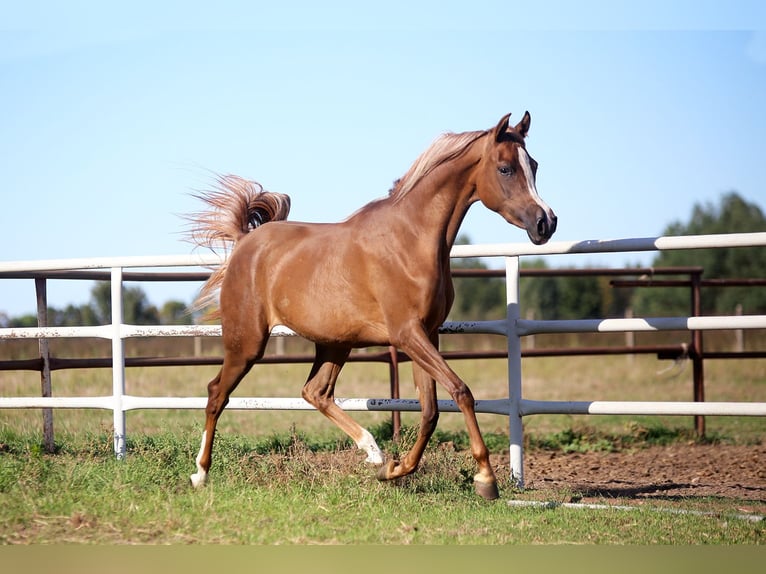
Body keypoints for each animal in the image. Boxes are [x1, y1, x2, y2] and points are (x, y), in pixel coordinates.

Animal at [187, 112, 556, 500]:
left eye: (533, 165)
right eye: (505, 169)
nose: (546, 222)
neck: (411, 240)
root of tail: (246, 243)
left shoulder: (428, 335)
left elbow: (430, 410)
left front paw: (395, 469)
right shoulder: (407, 334)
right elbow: (461, 392)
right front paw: (485, 479)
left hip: (335, 344)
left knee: (315, 392)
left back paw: (374, 453)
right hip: (247, 342)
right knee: (217, 393)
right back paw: (200, 474)